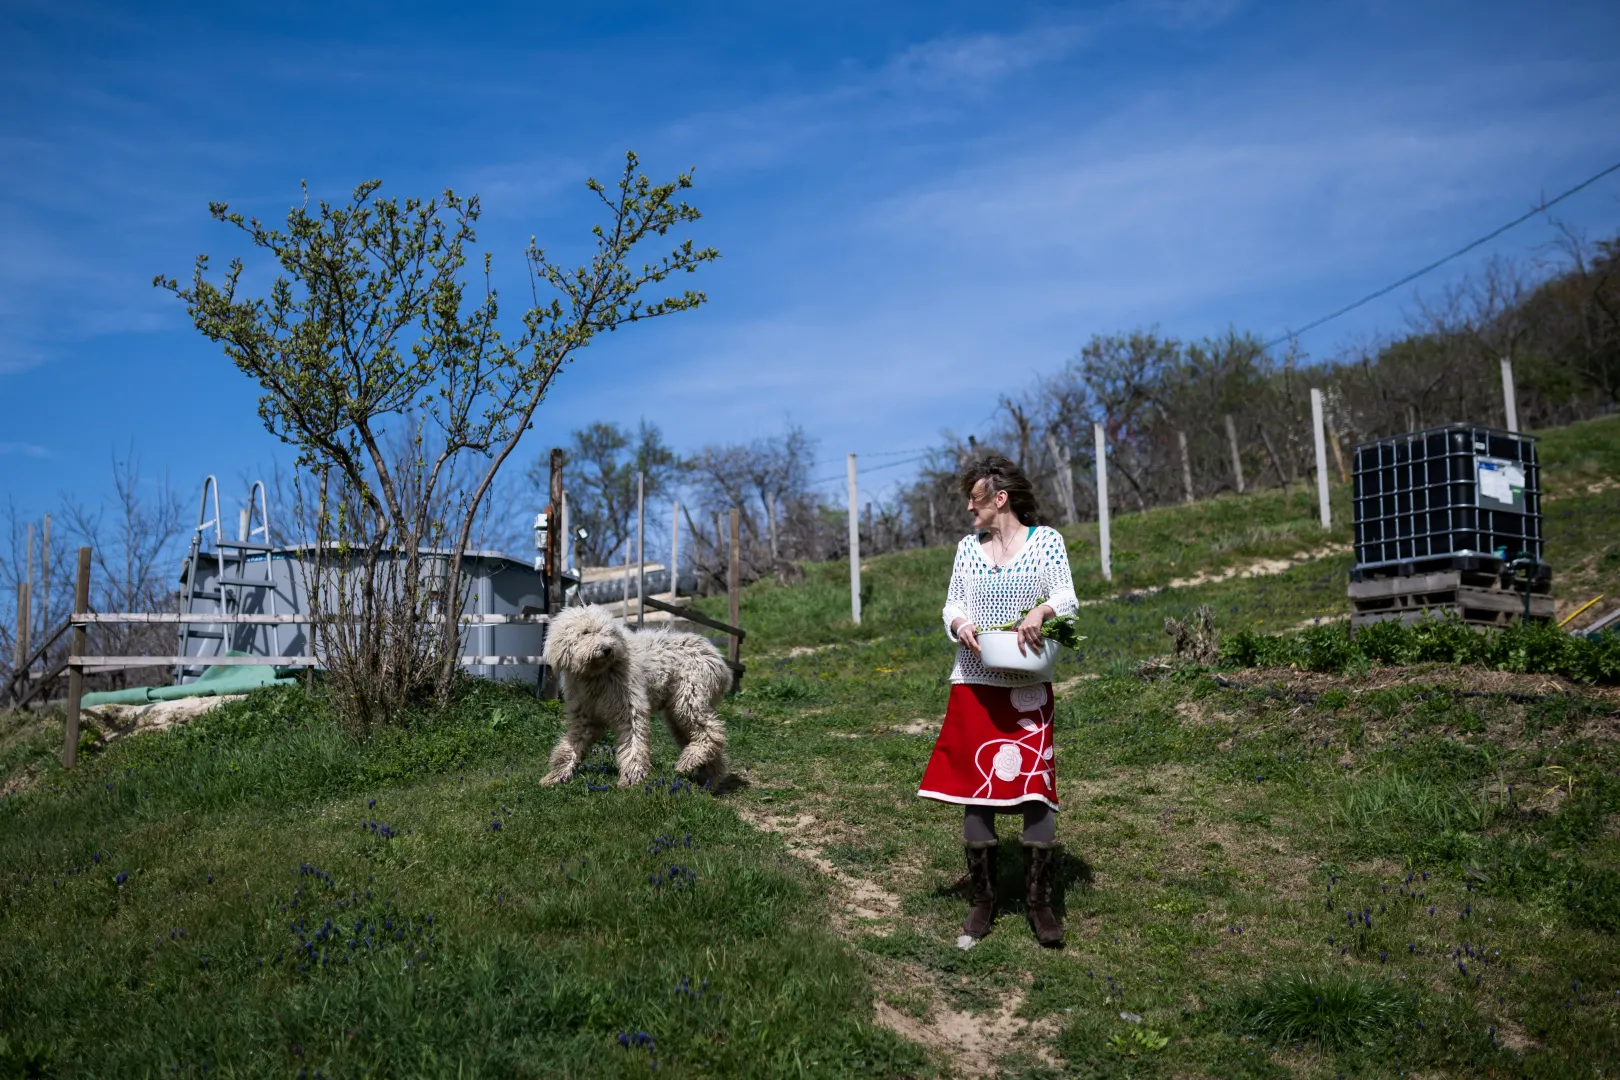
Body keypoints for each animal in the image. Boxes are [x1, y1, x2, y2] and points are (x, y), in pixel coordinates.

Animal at [541, 608, 732, 786]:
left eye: (607, 632)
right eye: (586, 632)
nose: (607, 649)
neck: (596, 674)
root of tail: (719, 660)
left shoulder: (629, 708)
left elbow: (633, 742)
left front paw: (632, 778)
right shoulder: (585, 716)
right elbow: (571, 745)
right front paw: (556, 775)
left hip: (689, 698)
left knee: (712, 732)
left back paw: (687, 762)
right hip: (677, 714)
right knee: (708, 740)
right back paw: (710, 778)